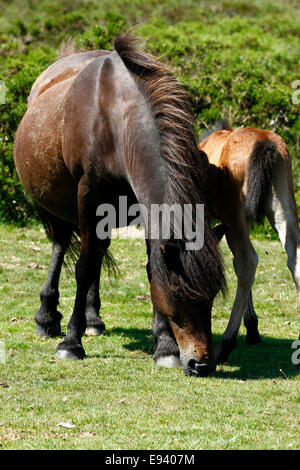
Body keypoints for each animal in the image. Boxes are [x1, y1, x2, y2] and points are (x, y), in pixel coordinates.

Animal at [14, 35, 225, 376]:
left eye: (213, 294)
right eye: (178, 293)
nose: (202, 363)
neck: (115, 119)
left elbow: (151, 268)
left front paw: (165, 347)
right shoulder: (88, 196)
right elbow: (84, 267)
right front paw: (70, 344)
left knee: (98, 250)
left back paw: (92, 319)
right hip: (55, 204)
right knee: (62, 245)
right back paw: (47, 317)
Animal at [197, 121, 300, 364]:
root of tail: (265, 143)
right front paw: (253, 327)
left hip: (233, 213)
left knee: (246, 261)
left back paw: (226, 344)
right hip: (283, 206)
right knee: (294, 258)